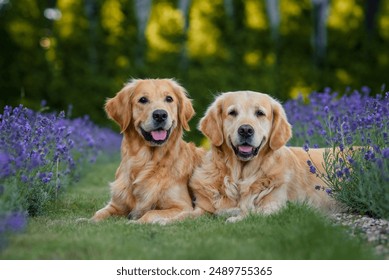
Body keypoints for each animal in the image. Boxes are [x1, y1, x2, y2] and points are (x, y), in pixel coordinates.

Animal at [88, 79, 203, 223]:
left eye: (169, 99)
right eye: (143, 99)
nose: (160, 115)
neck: (146, 161)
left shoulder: (182, 206)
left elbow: (150, 213)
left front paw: (135, 222)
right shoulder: (116, 204)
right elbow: (100, 213)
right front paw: (86, 220)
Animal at [180, 91, 338, 222]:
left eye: (260, 113)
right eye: (232, 112)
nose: (245, 130)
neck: (240, 178)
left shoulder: (276, 206)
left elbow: (252, 212)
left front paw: (234, 218)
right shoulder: (202, 208)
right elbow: (184, 215)